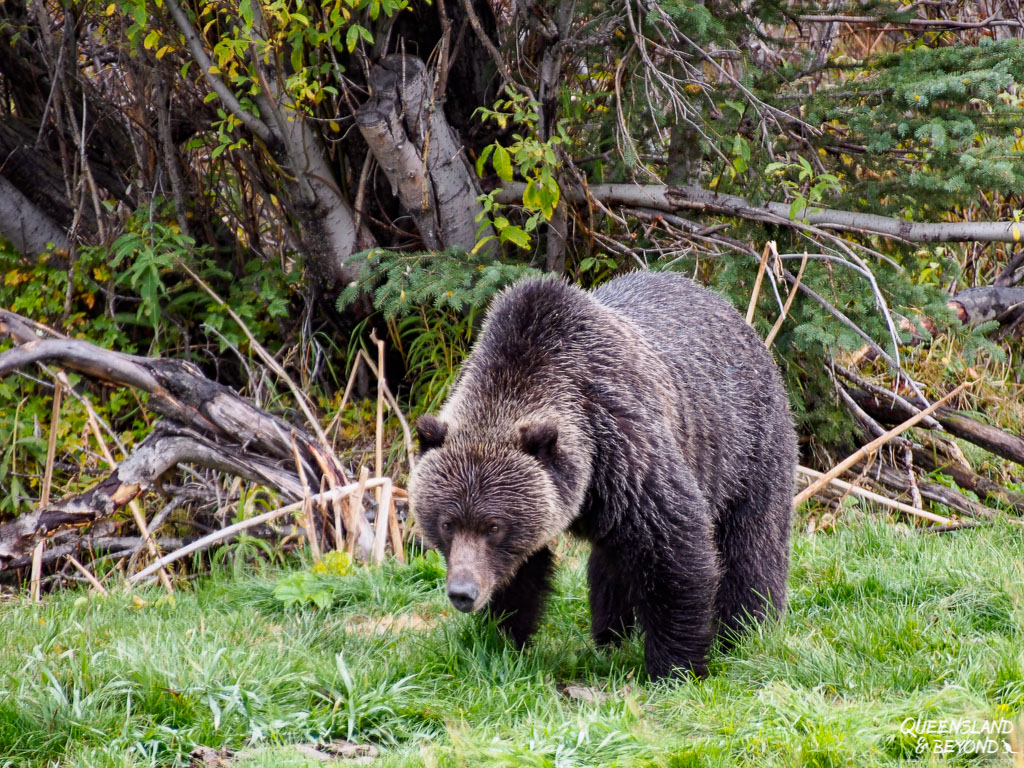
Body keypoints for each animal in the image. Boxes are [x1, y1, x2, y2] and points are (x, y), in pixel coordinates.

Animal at [407, 274, 798, 684]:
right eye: (447, 523)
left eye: (494, 526)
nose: (463, 593)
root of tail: (733, 312)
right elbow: (521, 577)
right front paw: (502, 642)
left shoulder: (629, 450)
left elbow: (676, 553)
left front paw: (676, 666)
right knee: (611, 565)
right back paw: (611, 637)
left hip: (747, 446)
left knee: (753, 545)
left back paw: (746, 631)